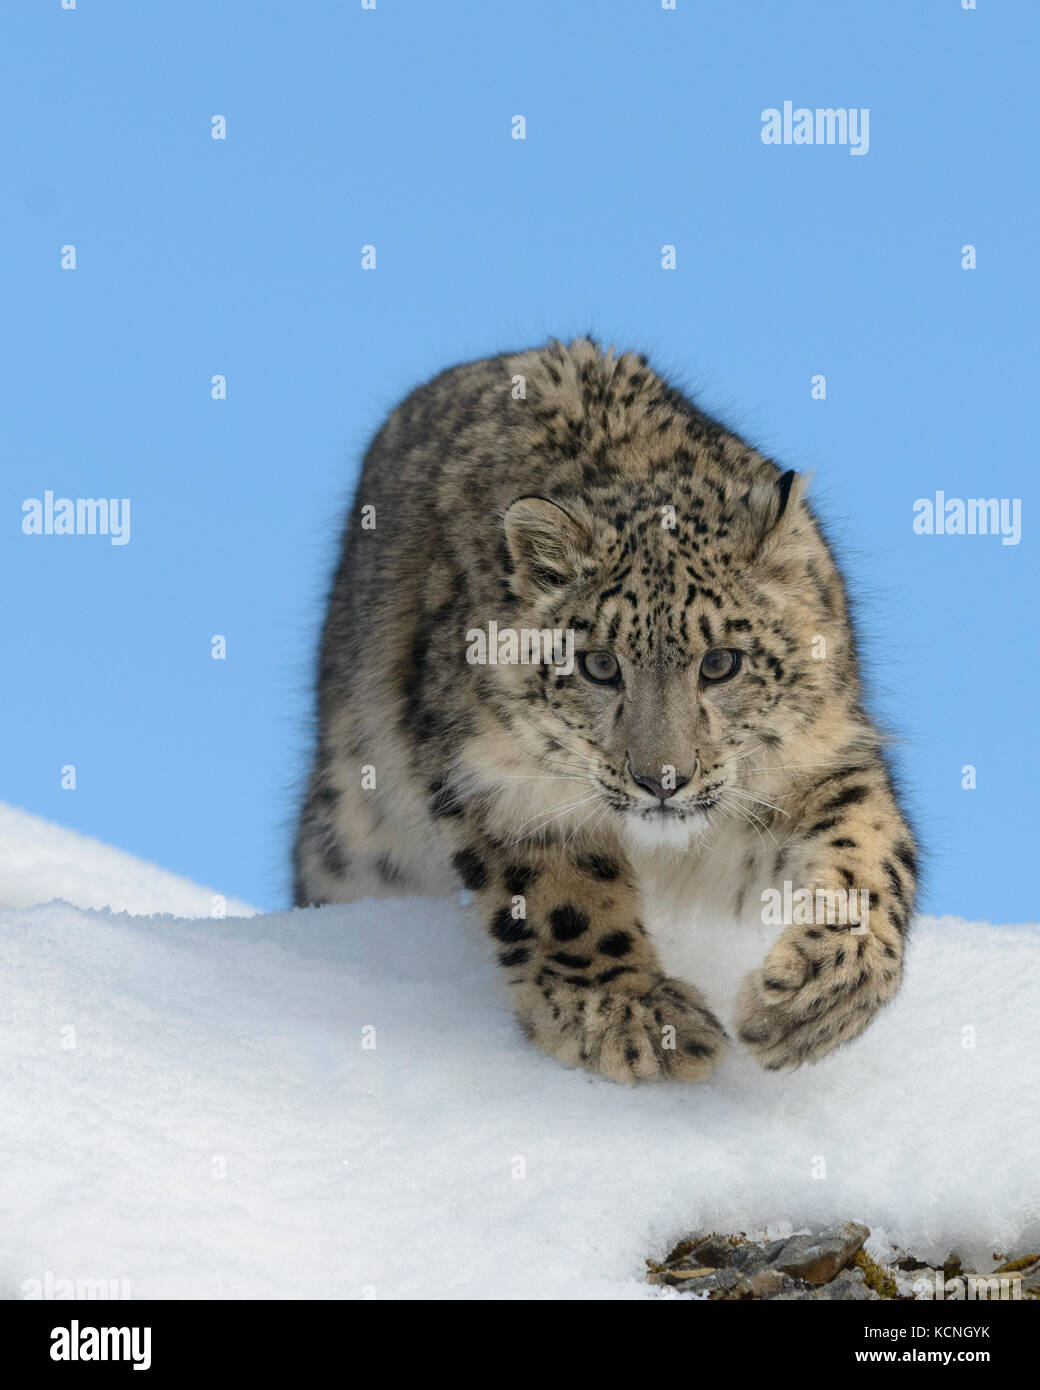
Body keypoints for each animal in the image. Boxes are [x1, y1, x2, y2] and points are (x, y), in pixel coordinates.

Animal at [293, 337, 918, 1083]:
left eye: (721, 662)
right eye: (598, 665)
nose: (662, 779)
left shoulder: (817, 759)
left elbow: (870, 852)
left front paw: (813, 995)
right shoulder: (504, 786)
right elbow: (564, 899)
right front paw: (639, 1017)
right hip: (353, 838)